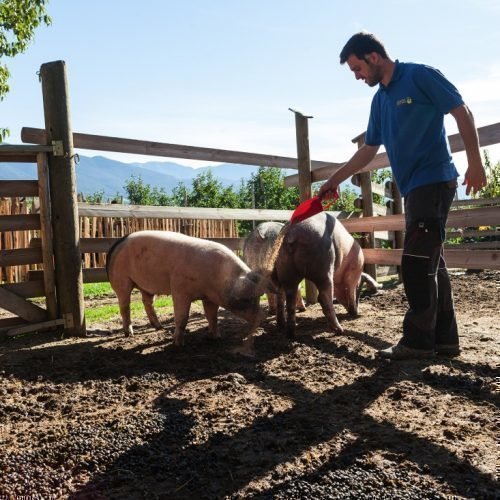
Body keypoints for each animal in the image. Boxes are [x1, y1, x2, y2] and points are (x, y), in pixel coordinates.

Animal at [105, 229, 270, 344]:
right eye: (247, 299)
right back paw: (129, 333)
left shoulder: (209, 297)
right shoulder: (179, 289)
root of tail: (120, 241)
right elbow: (182, 317)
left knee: (147, 302)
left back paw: (159, 327)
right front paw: (178, 343)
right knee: (124, 306)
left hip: (146, 286)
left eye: (258, 298)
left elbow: (212, 316)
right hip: (122, 280)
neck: (219, 277)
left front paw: (216, 337)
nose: (262, 317)